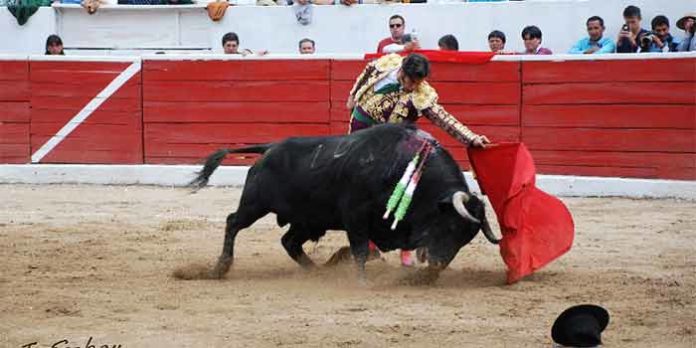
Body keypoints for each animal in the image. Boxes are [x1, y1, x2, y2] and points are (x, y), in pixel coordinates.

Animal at [190, 123, 500, 284]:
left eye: (465, 239)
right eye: (449, 227)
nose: (436, 268)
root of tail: (270, 147)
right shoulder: (356, 217)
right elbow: (361, 250)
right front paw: (360, 280)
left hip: (307, 219)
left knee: (289, 242)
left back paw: (316, 271)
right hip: (256, 204)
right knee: (233, 222)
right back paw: (220, 268)